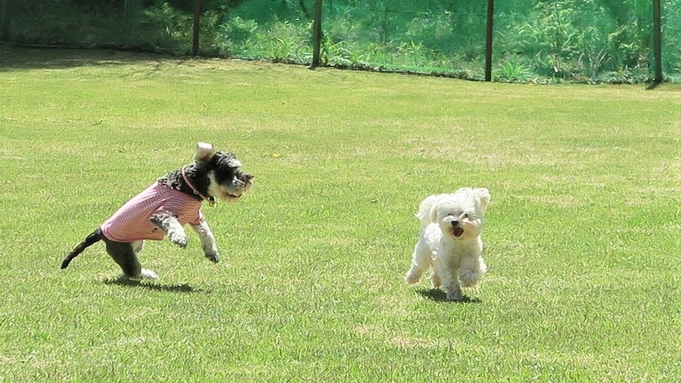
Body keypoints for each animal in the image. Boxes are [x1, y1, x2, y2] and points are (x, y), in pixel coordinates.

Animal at [60, 142, 252, 280]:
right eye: (228, 170)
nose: (249, 179)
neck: (187, 186)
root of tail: (100, 231)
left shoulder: (195, 217)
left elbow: (207, 233)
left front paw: (212, 253)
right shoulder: (162, 213)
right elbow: (174, 224)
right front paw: (180, 238)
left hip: (137, 244)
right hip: (125, 252)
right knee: (133, 271)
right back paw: (150, 274)